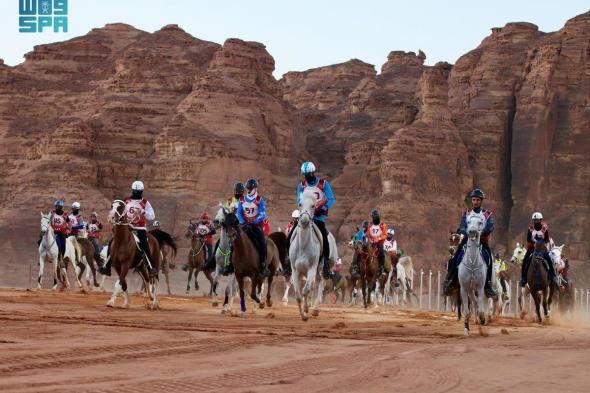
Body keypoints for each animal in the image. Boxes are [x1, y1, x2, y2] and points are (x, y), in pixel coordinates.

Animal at [290, 188, 326, 320]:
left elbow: (305, 291)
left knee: (320, 284)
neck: (303, 247)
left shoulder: (312, 268)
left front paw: (306, 312)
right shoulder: (295, 270)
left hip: (321, 270)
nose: (304, 221)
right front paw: (303, 315)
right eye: (300, 204)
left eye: (313, 205)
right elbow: (298, 295)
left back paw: (315, 309)